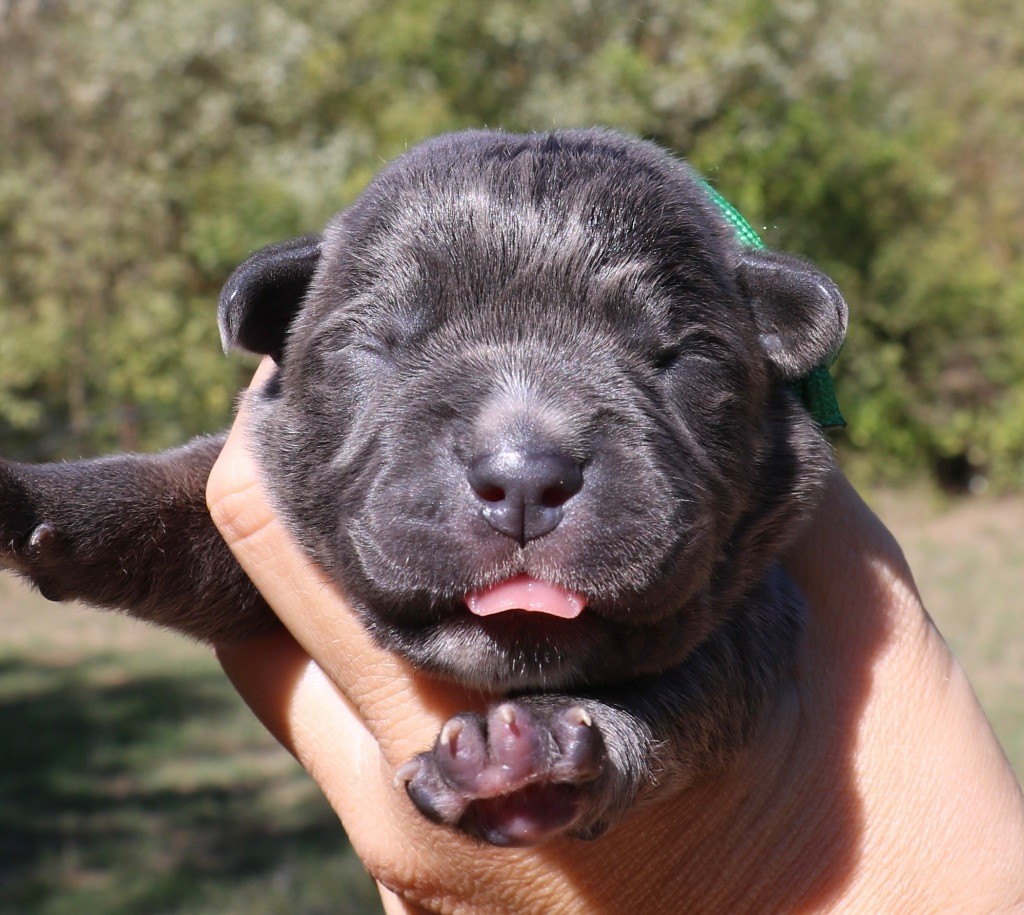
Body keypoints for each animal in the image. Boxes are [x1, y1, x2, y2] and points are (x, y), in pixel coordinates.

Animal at [2, 126, 847, 843]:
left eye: (677, 355)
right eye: (381, 343)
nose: (525, 476)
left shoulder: (762, 607)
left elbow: (688, 685)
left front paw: (534, 752)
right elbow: (171, 503)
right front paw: (32, 499)